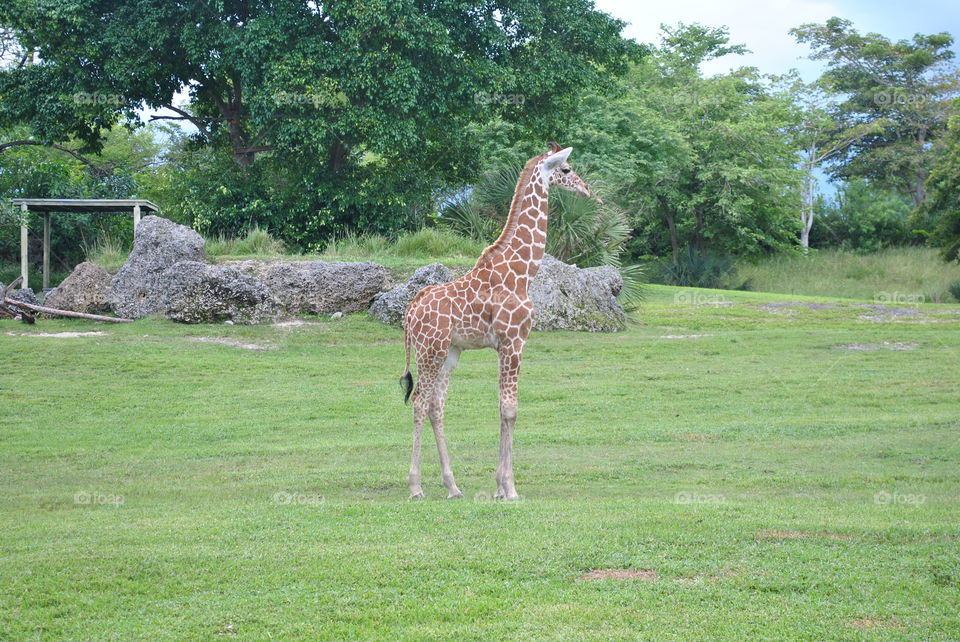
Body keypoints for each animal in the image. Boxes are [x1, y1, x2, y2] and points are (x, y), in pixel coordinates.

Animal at [398, 142, 592, 498]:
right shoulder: (514, 341)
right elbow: (510, 409)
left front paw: (500, 488)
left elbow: (503, 409)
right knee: (419, 402)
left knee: (435, 406)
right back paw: (416, 488)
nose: (586, 189)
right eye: (567, 169)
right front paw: (509, 488)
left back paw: (453, 487)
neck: (522, 273)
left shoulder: (504, 345)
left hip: (450, 352)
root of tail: (410, 311)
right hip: (429, 349)